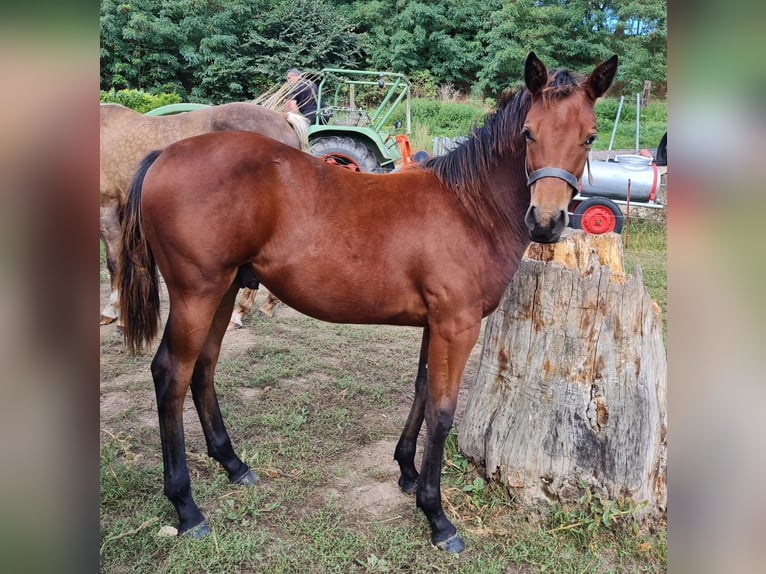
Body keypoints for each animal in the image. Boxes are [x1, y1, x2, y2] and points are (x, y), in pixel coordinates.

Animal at [99, 102, 308, 328]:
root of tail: (282, 118)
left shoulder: (106, 208)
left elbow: (114, 262)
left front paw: (113, 311)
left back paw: (240, 312)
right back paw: (266, 306)